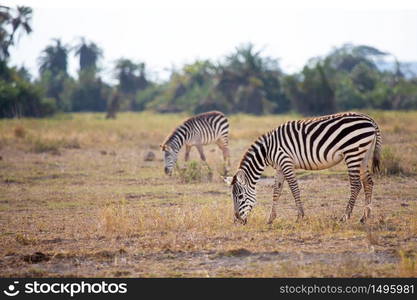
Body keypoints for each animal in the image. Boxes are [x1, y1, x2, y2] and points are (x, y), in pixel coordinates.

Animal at [224, 111, 380, 224]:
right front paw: (270, 219)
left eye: (240, 196)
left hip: (352, 153)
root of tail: (370, 119)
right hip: (363, 155)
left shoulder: (286, 162)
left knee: (356, 185)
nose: (237, 220)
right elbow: (276, 192)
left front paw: (300, 216)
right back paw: (365, 217)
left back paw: (345, 216)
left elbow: (294, 189)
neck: (267, 150)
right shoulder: (279, 167)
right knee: (368, 182)